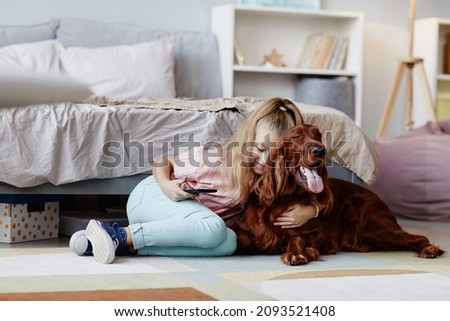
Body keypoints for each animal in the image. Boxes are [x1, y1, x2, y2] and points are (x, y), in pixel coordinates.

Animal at [234, 124, 444, 264]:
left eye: (318, 135)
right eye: (296, 137)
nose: (320, 150)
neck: (285, 197)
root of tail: (378, 198)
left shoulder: (320, 233)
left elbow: (297, 237)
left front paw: (298, 253)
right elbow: (240, 236)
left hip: (373, 228)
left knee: (420, 237)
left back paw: (429, 249)